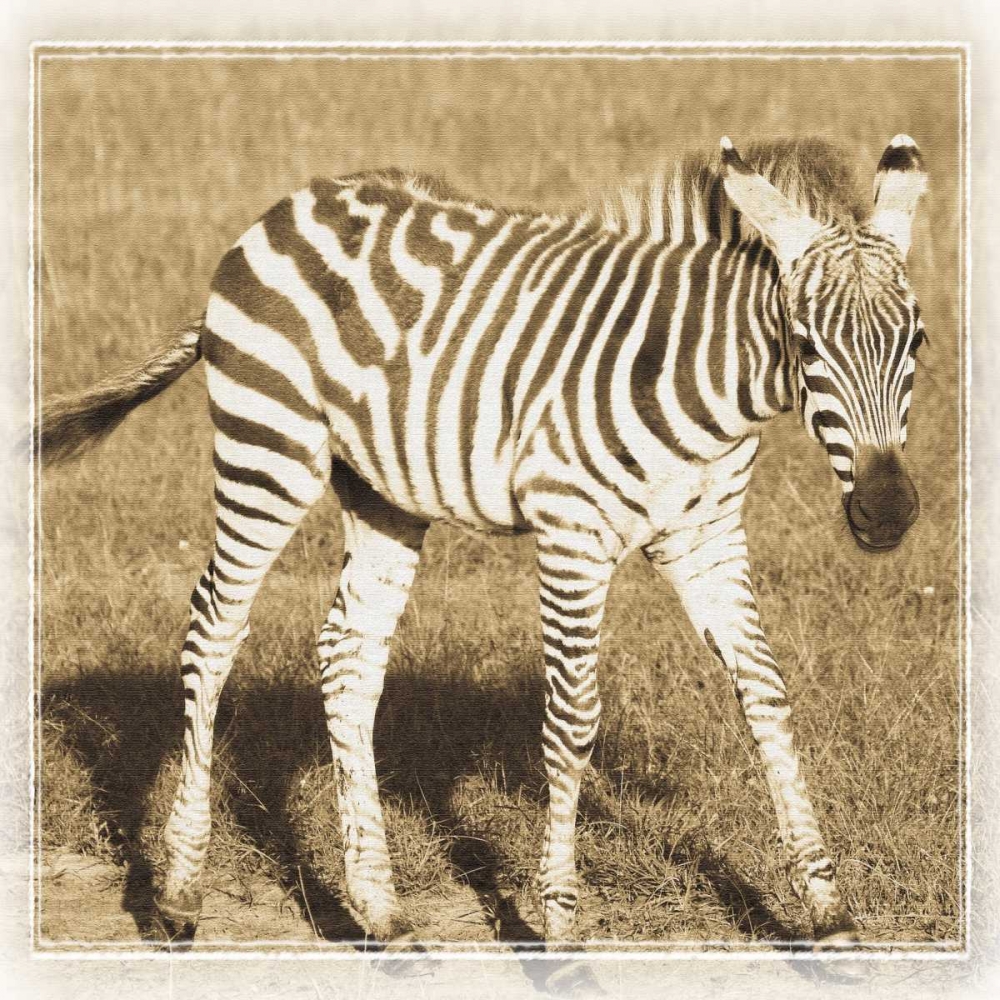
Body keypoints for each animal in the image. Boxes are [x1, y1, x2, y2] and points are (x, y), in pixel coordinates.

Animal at [38, 133, 928, 948]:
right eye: (806, 346)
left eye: (916, 341)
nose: (886, 512)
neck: (702, 380)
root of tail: (287, 205)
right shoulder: (572, 533)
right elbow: (571, 720)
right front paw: (562, 922)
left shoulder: (706, 539)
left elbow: (767, 695)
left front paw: (827, 911)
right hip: (270, 448)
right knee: (214, 631)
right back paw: (180, 897)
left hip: (381, 488)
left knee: (348, 652)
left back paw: (382, 913)